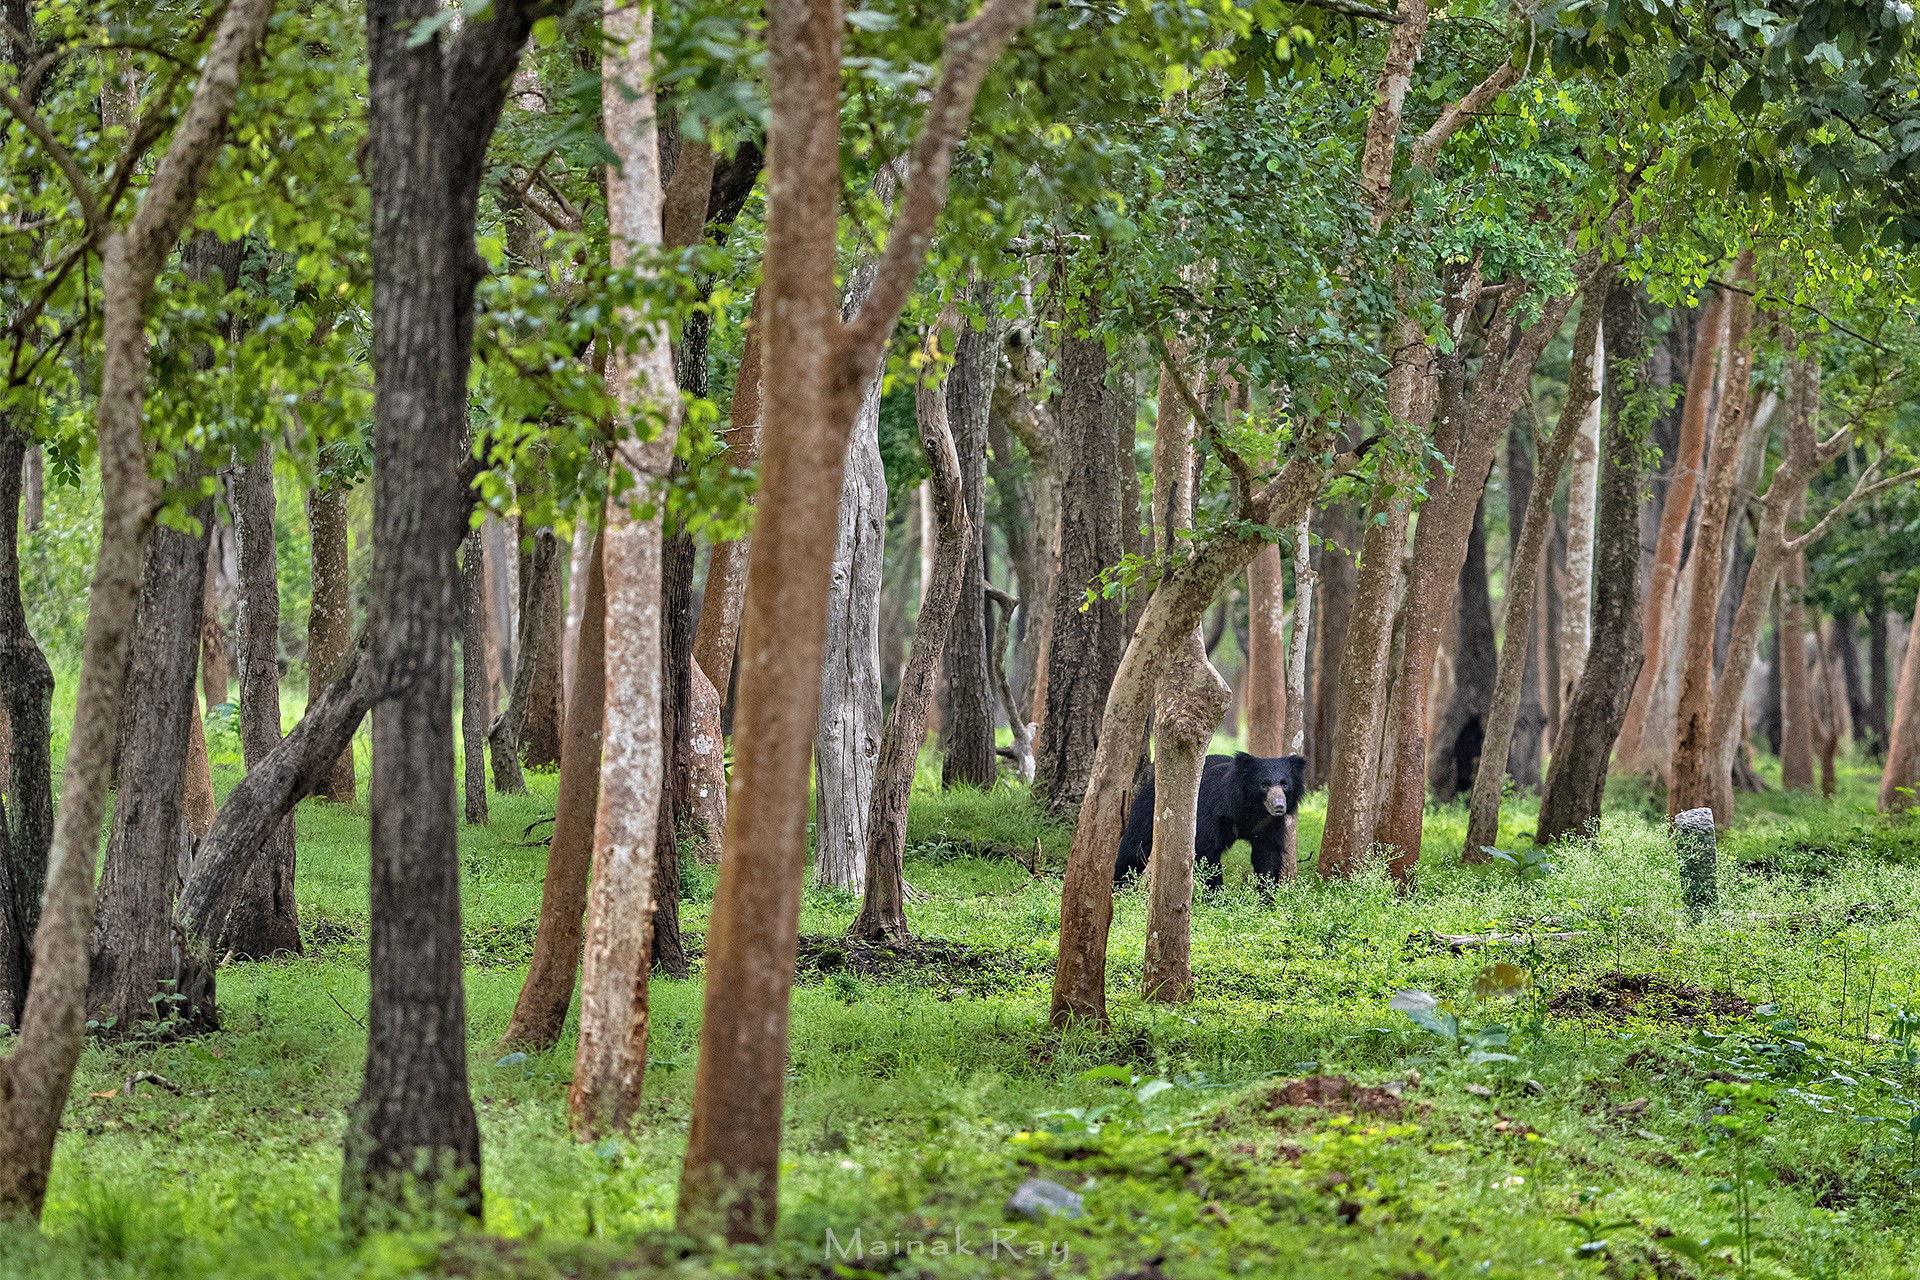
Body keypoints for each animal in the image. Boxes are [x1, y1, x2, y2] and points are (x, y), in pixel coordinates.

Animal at [1112, 752, 1308, 891]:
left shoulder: (1268, 823)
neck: (1251, 808)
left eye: (1284, 783)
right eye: (1264, 784)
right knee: (1133, 849)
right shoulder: (1213, 812)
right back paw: (1119, 885)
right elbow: (1206, 851)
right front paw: (1218, 896)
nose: (1279, 806)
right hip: (1150, 813)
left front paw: (1266, 897)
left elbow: (1268, 854)